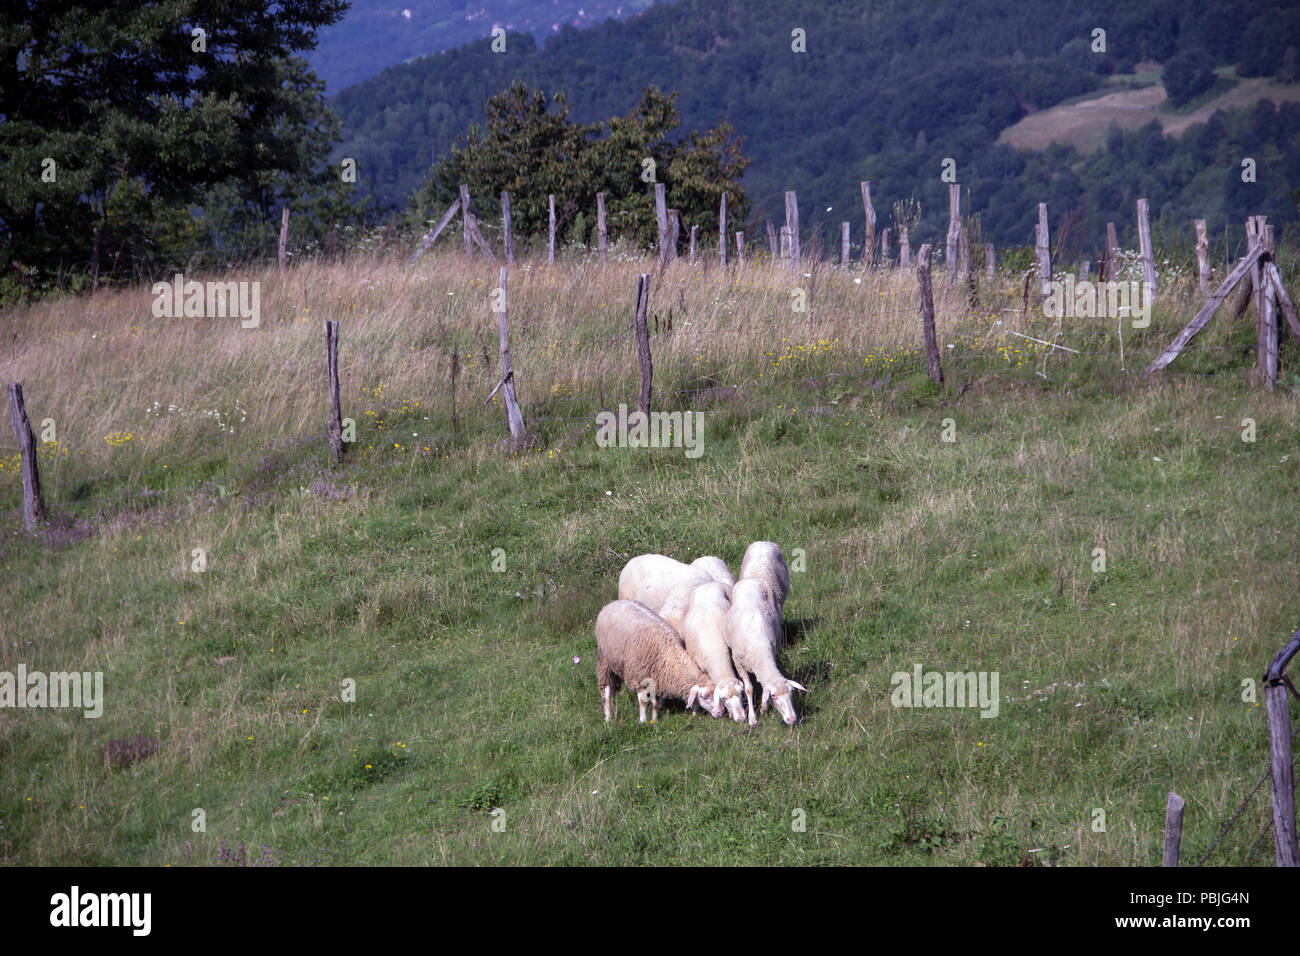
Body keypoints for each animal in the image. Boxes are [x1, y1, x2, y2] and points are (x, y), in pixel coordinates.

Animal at [722, 574, 800, 723]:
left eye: (791, 692)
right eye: (774, 696)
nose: (792, 719)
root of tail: (752, 579)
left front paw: (764, 709)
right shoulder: (738, 661)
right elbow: (748, 689)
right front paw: (752, 718)